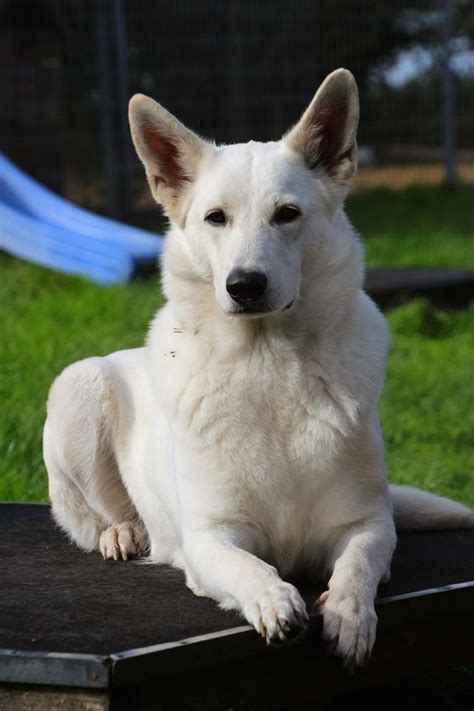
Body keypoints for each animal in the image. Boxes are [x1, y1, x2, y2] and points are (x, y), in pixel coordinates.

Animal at [42, 68, 472, 668]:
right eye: (215, 218)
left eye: (286, 214)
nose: (244, 285)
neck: (269, 365)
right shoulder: (211, 538)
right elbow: (252, 567)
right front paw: (275, 600)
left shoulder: (366, 523)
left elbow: (357, 565)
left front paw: (349, 614)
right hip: (80, 386)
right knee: (96, 515)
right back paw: (123, 533)